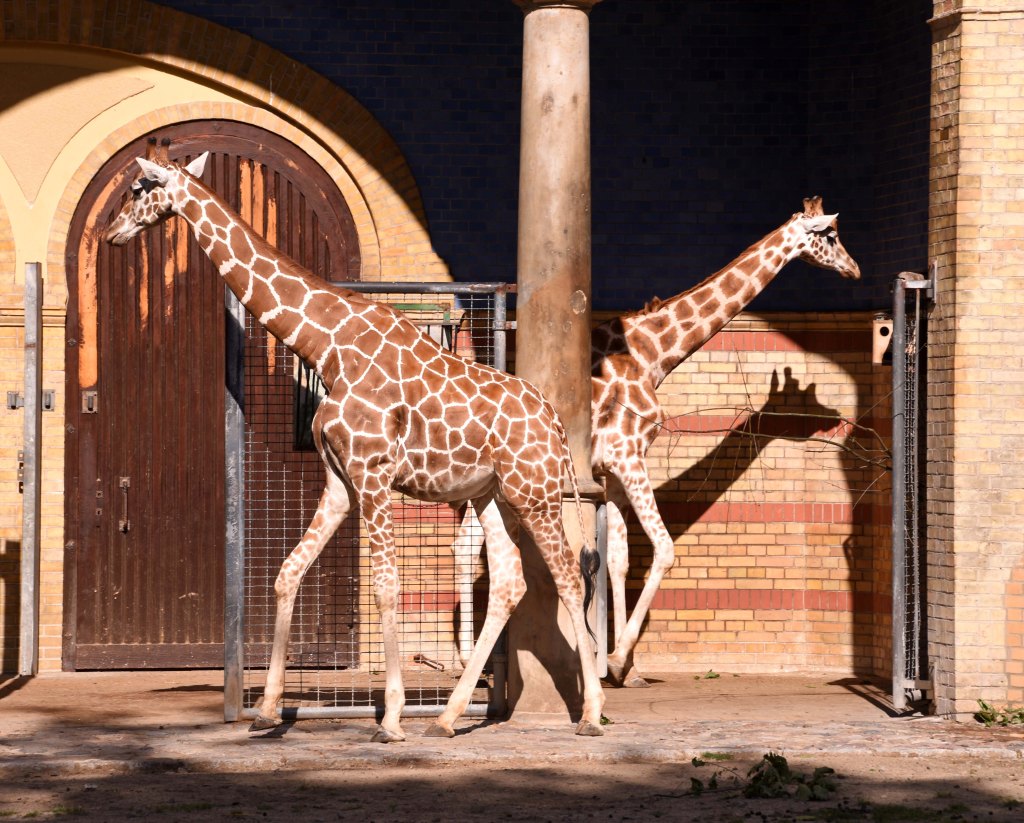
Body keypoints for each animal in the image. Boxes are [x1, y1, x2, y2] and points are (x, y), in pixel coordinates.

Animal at [104, 150, 605, 742]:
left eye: (140, 187)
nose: (111, 233)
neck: (327, 346)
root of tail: (555, 421)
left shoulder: (373, 473)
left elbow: (386, 586)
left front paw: (390, 717)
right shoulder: (340, 480)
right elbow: (287, 573)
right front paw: (268, 709)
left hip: (537, 494)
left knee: (568, 578)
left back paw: (590, 714)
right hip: (493, 495)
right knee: (509, 582)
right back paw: (448, 717)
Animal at [455, 198, 859, 687]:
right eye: (831, 235)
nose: (855, 270)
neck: (653, 354)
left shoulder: (611, 474)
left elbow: (619, 559)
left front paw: (628, 668)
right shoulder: (629, 456)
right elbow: (663, 549)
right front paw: (614, 660)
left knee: (467, 543)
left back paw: (472, 662)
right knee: (468, 545)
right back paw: (467, 661)